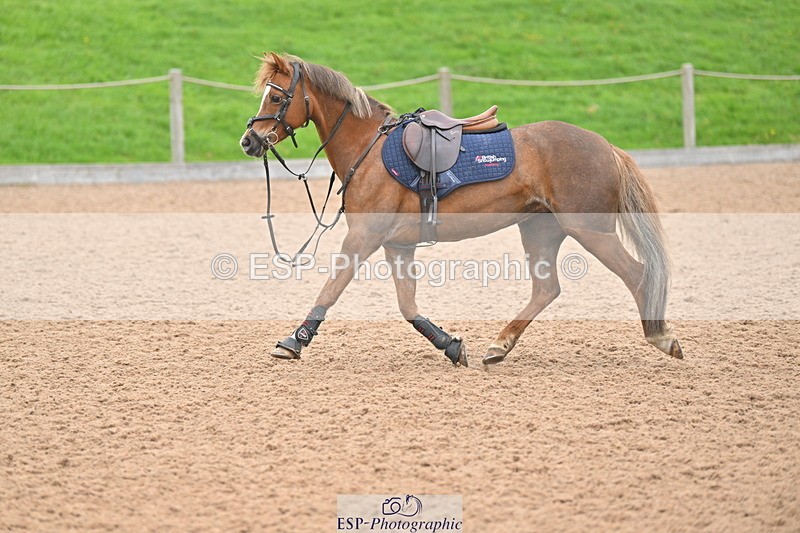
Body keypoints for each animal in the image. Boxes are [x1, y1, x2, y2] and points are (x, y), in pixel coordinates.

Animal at [239, 52, 683, 366]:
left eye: (276, 96)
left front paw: (293, 341)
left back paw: (660, 336)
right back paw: (499, 345)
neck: (369, 149)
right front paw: (451, 345)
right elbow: (408, 306)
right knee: (547, 289)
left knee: (637, 274)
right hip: (540, 230)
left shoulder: (364, 237)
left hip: (590, 230)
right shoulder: (397, 245)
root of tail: (605, 145)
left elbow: (332, 288)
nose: (249, 141)